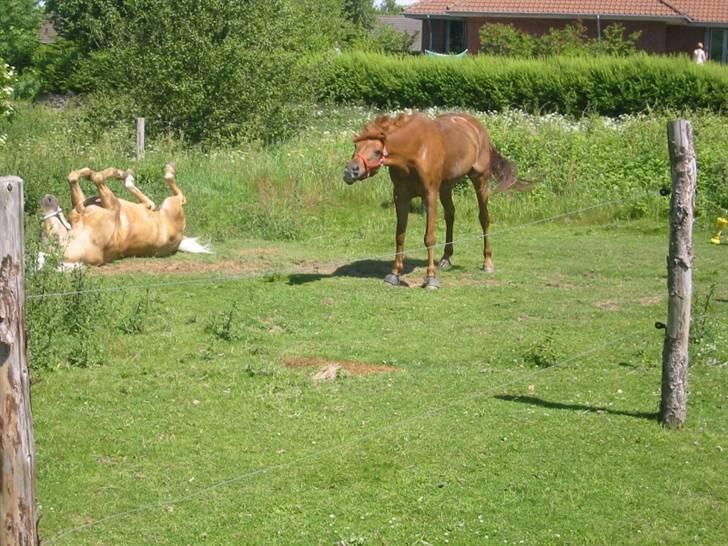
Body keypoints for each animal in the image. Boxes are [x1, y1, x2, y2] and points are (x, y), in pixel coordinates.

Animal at [344, 111, 528, 288]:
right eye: (356, 146)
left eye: (376, 151)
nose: (350, 171)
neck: (415, 150)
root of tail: (477, 127)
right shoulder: (401, 197)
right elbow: (400, 235)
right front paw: (394, 274)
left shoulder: (430, 195)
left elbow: (429, 238)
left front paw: (431, 278)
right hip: (446, 186)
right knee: (450, 215)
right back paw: (446, 259)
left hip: (480, 180)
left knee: (484, 218)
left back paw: (488, 263)